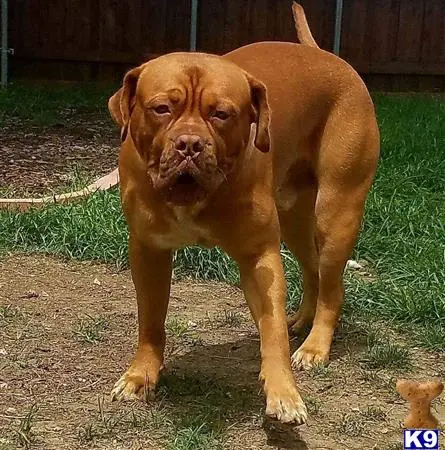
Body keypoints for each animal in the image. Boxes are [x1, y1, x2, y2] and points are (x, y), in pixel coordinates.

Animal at [106, 4, 378, 426]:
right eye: (161, 108)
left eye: (221, 114)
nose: (189, 144)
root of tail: (329, 57)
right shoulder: (148, 251)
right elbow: (150, 319)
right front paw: (141, 375)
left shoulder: (259, 257)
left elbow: (272, 330)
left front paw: (284, 392)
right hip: (295, 219)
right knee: (312, 270)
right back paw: (302, 318)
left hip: (336, 214)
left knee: (333, 285)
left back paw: (316, 345)